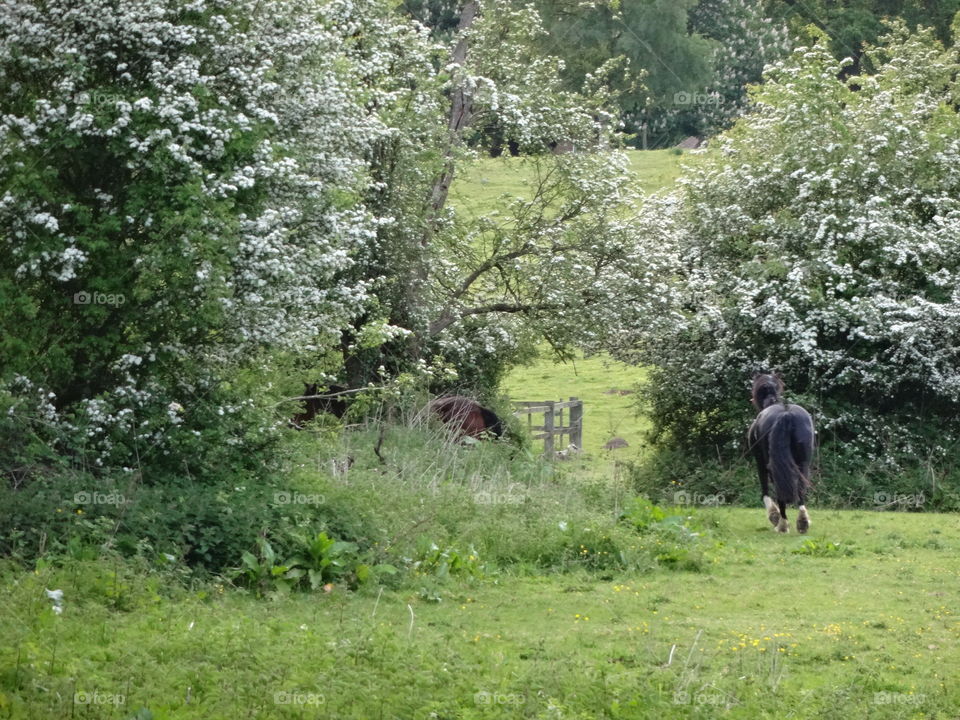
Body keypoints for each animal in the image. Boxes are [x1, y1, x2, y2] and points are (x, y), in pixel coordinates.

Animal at [748, 374, 812, 532]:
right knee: (801, 489)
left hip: (772, 464)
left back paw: (782, 524)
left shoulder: (760, 462)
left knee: (779, 491)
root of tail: (786, 413)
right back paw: (803, 521)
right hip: (803, 463)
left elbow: (765, 490)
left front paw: (773, 515)